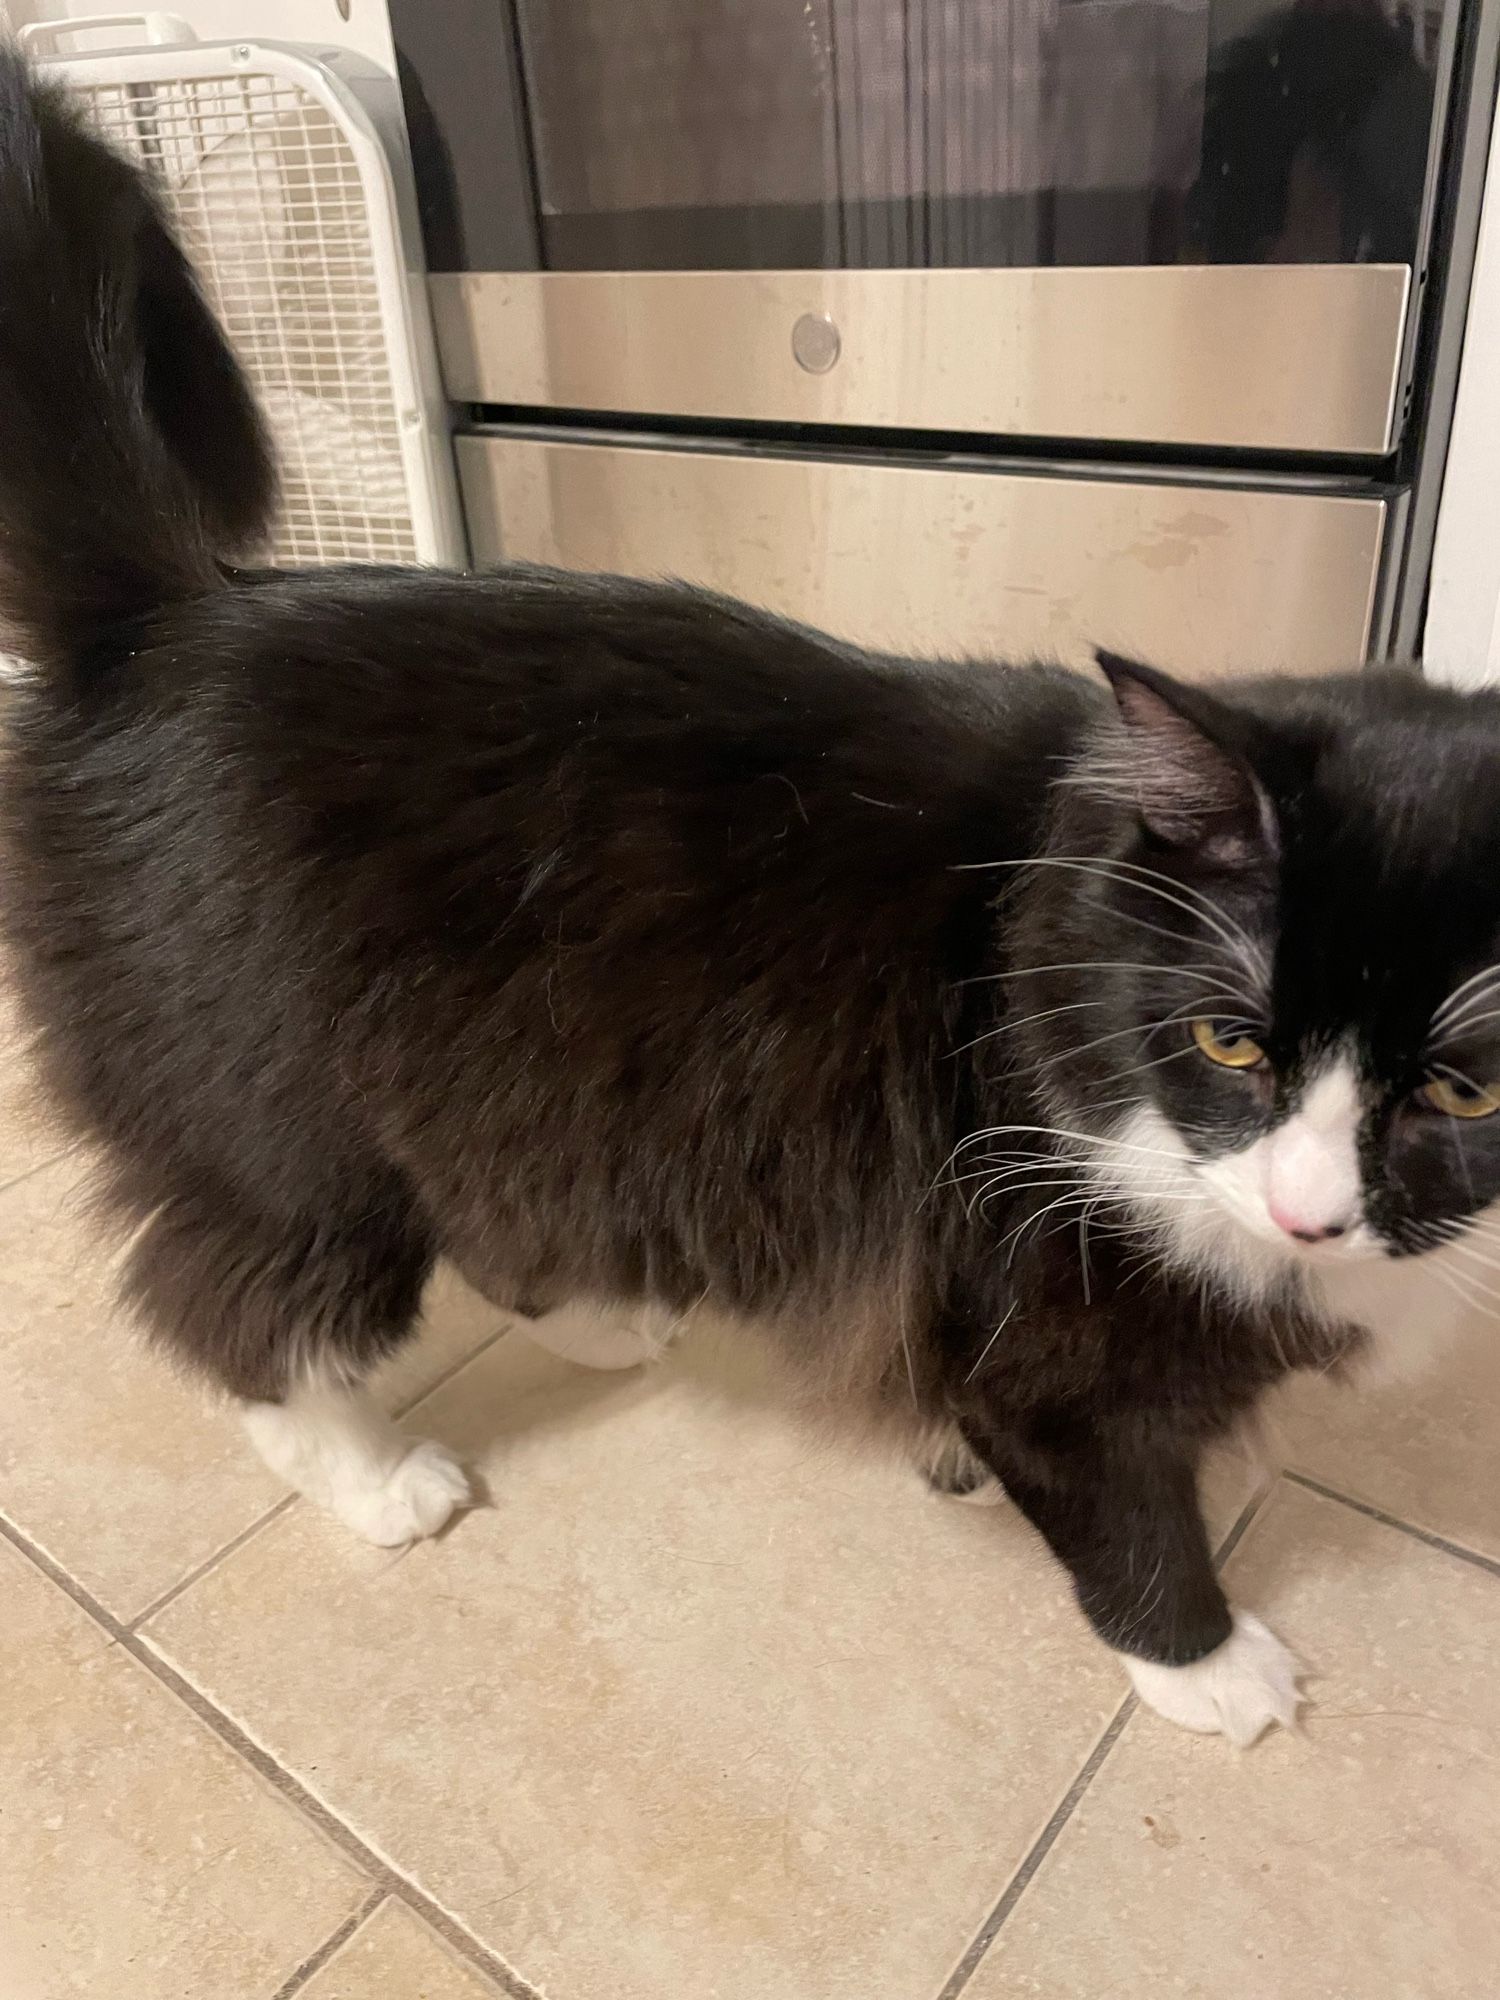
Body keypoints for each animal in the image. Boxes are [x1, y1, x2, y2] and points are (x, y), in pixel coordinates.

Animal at [2, 54, 1500, 1752]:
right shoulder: (1045, 1333)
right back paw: (381, 1480)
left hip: (511, 1084)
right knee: (242, 1316)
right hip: (292, 1133)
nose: (1313, 1214)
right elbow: (1130, 1515)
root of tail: (160, 620)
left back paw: (597, 1317)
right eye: (1232, 1043)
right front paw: (1214, 1668)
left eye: (1462, 1089)